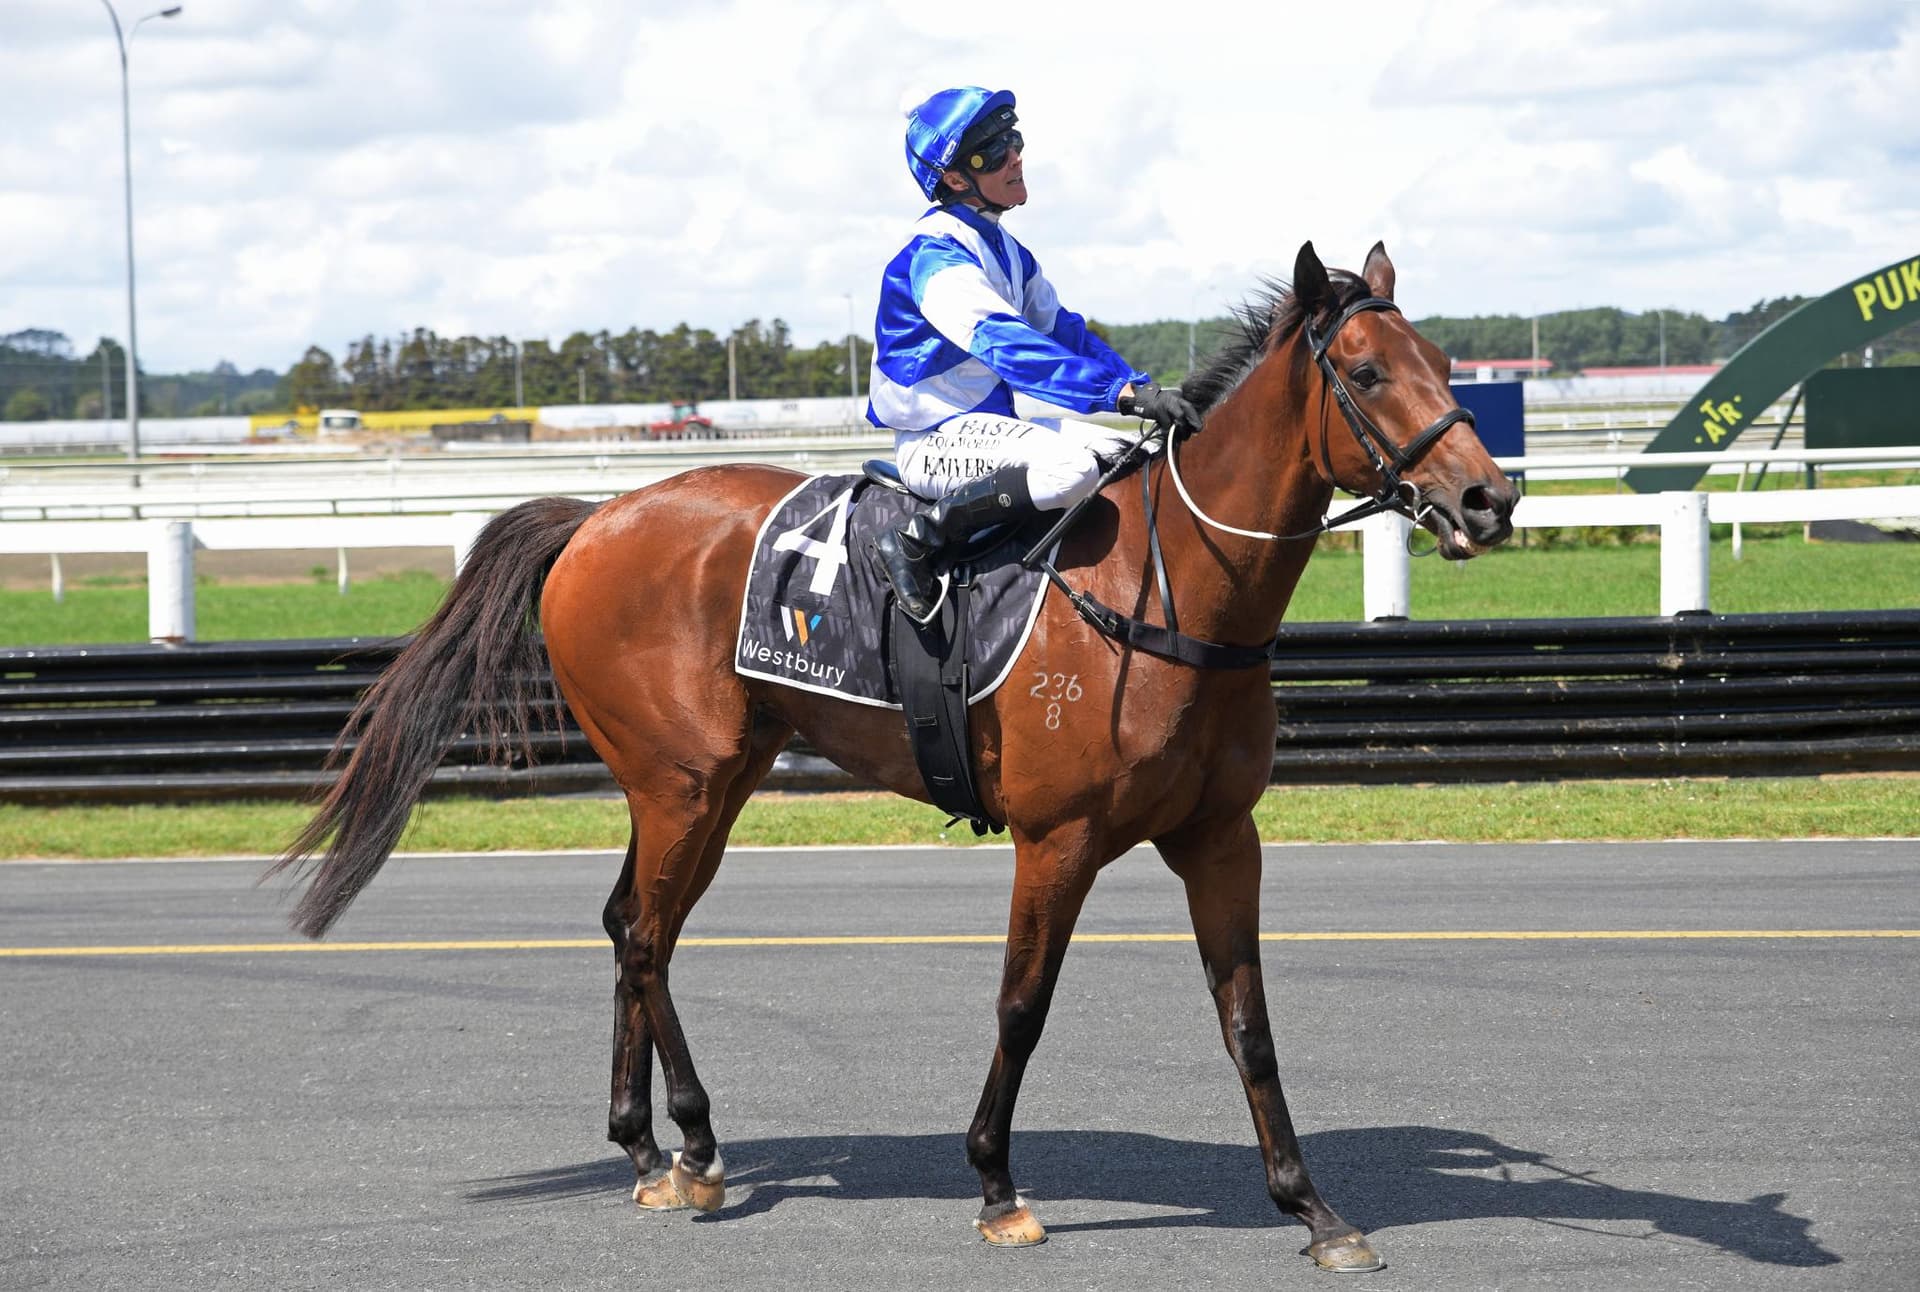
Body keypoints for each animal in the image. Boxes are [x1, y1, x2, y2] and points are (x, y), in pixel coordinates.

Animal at [270, 240, 1519, 1272]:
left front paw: (1314, 1207)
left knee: (633, 927)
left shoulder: (1220, 834)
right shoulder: (1057, 837)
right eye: (1365, 370)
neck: (1165, 592)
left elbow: (1248, 1022)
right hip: (684, 782)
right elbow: (1022, 1002)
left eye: (1441, 358)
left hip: (705, 782)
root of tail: (594, 518)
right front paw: (997, 1182)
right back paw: (691, 1145)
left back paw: (651, 1148)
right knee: (647, 936)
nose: (1488, 496)